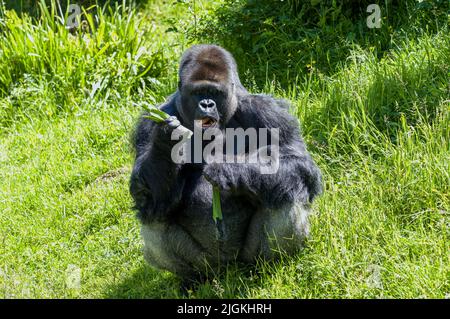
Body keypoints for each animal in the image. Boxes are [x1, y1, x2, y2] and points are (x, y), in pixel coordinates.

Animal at [128, 44, 322, 280]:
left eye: (214, 93)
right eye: (198, 93)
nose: (206, 104)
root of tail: (228, 268)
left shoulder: (267, 110)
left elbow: (296, 162)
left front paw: (229, 171)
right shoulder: (150, 122)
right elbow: (144, 192)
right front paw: (167, 140)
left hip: (244, 256)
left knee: (286, 190)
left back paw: (268, 265)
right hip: (209, 263)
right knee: (154, 214)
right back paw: (192, 279)